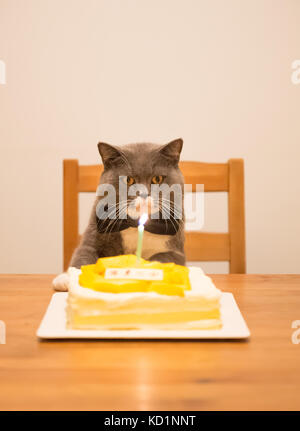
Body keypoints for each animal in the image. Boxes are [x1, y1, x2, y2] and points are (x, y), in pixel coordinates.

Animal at [53, 138, 185, 294]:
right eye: (128, 180)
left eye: (157, 179)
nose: (144, 194)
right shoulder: (93, 233)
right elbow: (83, 254)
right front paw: (66, 279)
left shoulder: (176, 249)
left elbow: (161, 257)